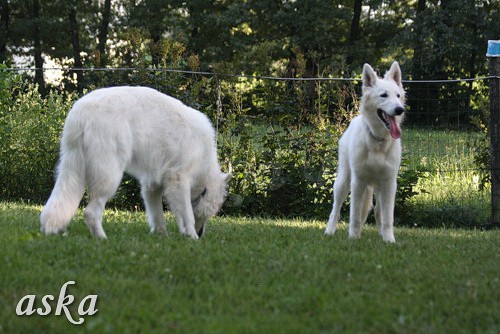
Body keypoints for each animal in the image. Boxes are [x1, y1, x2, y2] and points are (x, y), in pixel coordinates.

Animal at [40, 85, 231, 239]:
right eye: (207, 216)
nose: (201, 234)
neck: (204, 163)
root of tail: (82, 111)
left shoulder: (151, 185)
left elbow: (157, 214)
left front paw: (162, 235)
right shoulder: (178, 179)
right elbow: (187, 214)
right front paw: (192, 236)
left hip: (72, 169)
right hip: (110, 176)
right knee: (90, 212)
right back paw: (102, 238)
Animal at [326, 61, 404, 241]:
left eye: (398, 96)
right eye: (384, 95)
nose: (399, 109)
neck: (378, 141)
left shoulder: (389, 183)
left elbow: (388, 217)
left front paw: (389, 240)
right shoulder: (358, 181)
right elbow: (354, 215)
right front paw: (353, 238)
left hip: (379, 188)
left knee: (378, 211)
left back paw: (381, 233)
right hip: (343, 181)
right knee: (336, 209)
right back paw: (329, 231)